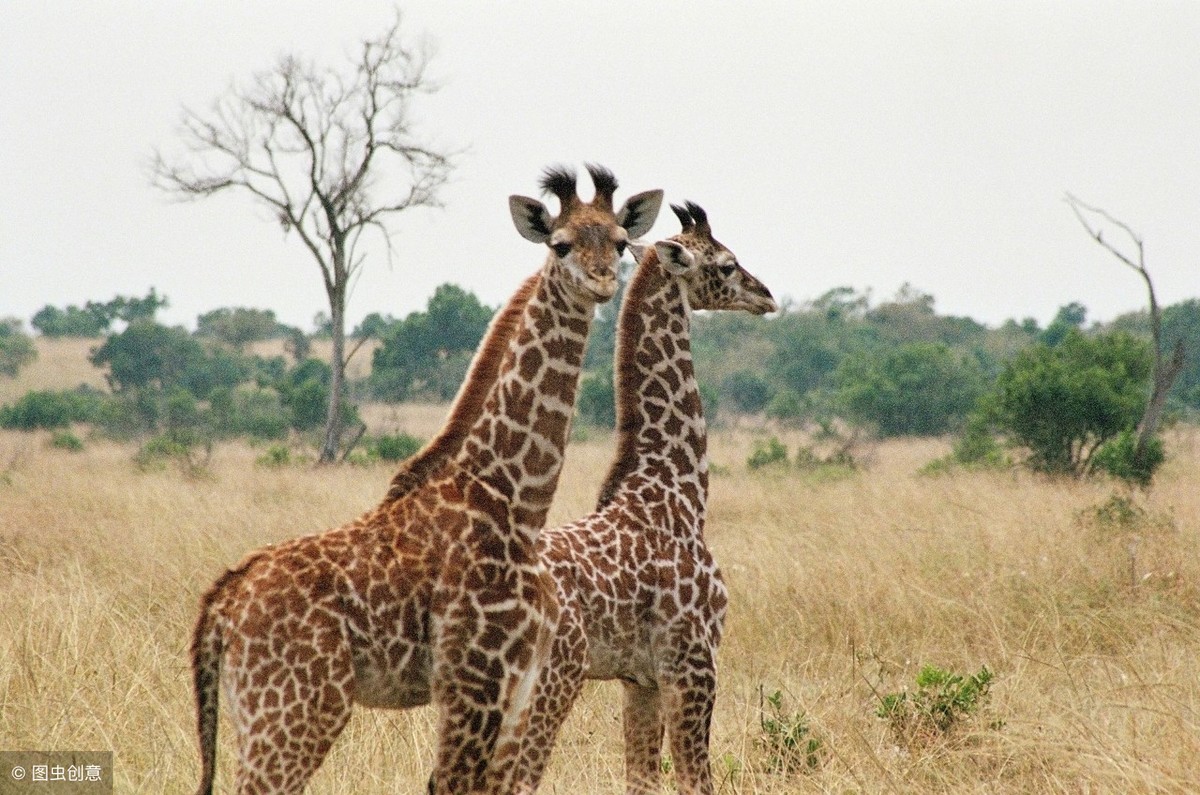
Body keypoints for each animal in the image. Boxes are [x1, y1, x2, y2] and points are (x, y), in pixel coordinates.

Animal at [192, 163, 672, 795]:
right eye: (560, 244)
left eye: (619, 242)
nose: (601, 282)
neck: (511, 499)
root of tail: (221, 604)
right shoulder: (474, 680)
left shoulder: (518, 685)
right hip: (297, 710)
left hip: (261, 713)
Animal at [508, 202, 777, 792]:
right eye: (726, 264)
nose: (766, 295)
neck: (679, 490)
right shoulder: (693, 663)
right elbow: (696, 780)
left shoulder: (640, 679)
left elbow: (642, 779)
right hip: (553, 683)